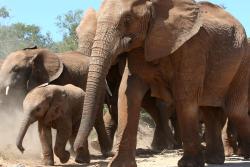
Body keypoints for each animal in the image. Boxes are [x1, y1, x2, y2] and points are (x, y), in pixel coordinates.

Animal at [74, 0, 250, 166]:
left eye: (127, 19)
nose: (77, 149)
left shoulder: (192, 48)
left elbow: (184, 98)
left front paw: (189, 164)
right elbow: (128, 93)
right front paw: (119, 164)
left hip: (243, 62)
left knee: (235, 110)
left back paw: (242, 155)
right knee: (210, 110)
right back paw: (214, 160)